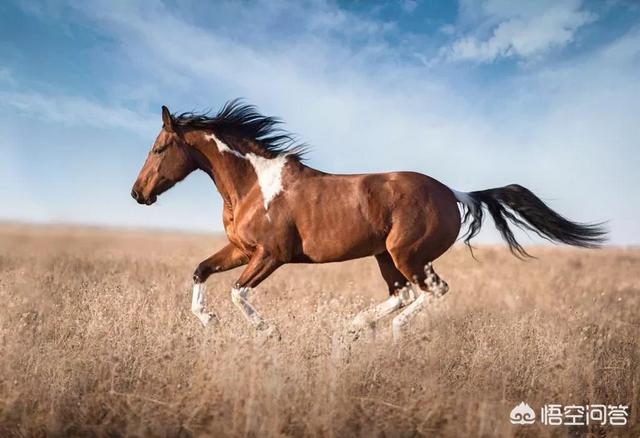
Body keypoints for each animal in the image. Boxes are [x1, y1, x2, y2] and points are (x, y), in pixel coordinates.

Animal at [131, 102, 604, 338]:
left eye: (158, 148)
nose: (138, 194)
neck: (253, 184)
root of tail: (454, 193)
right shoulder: (241, 249)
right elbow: (201, 271)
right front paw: (207, 321)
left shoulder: (271, 254)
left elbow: (237, 292)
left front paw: (267, 332)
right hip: (385, 256)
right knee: (403, 293)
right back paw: (355, 326)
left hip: (407, 254)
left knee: (430, 291)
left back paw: (390, 331)